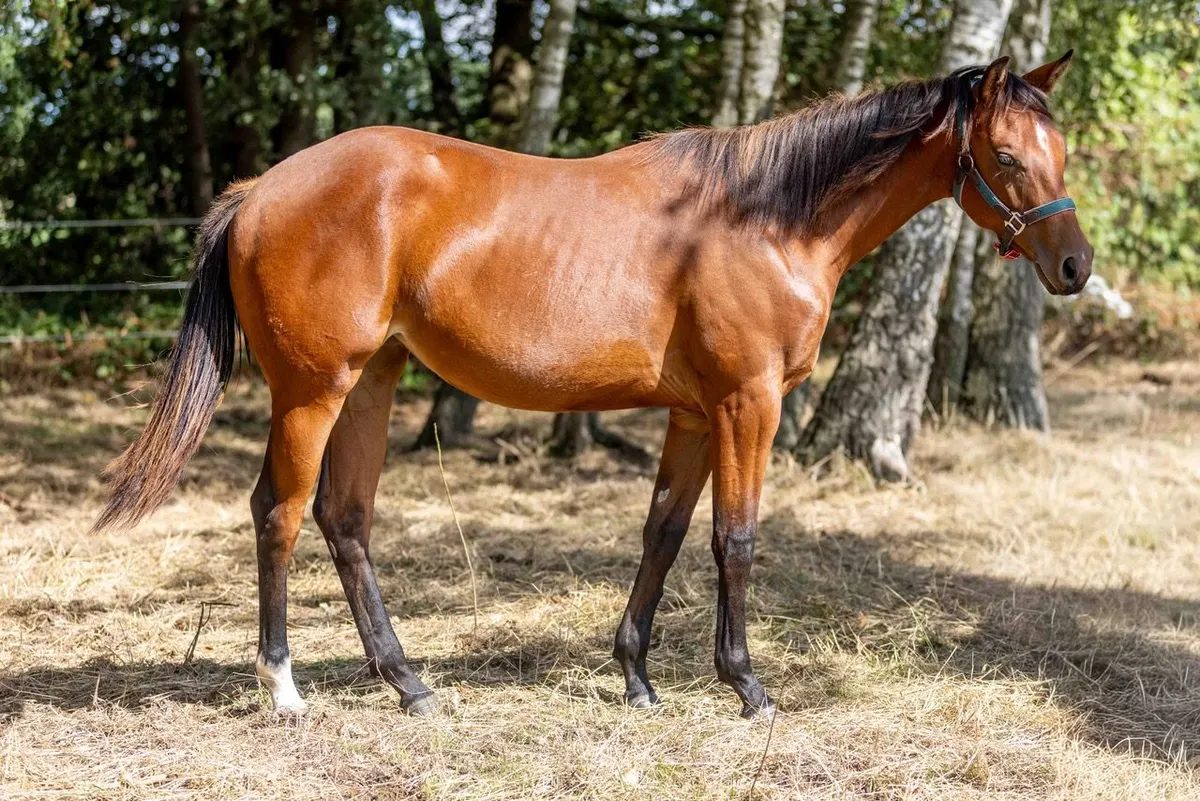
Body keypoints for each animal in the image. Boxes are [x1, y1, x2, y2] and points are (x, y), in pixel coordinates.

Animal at [94, 53, 1091, 719]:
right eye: (1007, 156)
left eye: (1062, 151)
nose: (1075, 265)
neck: (769, 220)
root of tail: (260, 190)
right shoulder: (748, 404)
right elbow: (735, 541)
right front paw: (748, 686)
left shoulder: (694, 414)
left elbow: (663, 536)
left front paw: (639, 677)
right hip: (313, 390)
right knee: (280, 513)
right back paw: (285, 687)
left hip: (371, 381)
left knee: (346, 520)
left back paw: (410, 683)